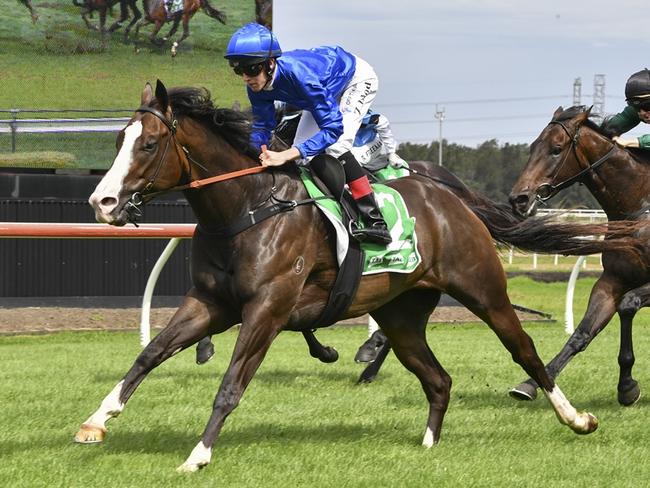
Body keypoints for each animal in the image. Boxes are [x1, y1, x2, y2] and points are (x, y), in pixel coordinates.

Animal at [506, 106, 648, 404]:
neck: (639, 206)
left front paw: (627, 385)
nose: (518, 199)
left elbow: (628, 304)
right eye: (532, 146)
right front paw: (532, 383)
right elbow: (582, 333)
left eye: (556, 149)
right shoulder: (612, 280)